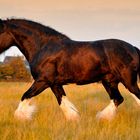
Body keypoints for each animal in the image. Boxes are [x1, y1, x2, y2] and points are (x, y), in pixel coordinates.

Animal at [0, 18, 140, 121]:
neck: (43, 47)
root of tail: (133, 48)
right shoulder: (54, 84)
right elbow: (63, 102)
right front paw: (75, 120)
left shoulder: (42, 81)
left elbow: (25, 96)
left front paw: (21, 118)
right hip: (110, 82)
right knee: (117, 99)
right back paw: (102, 117)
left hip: (129, 81)